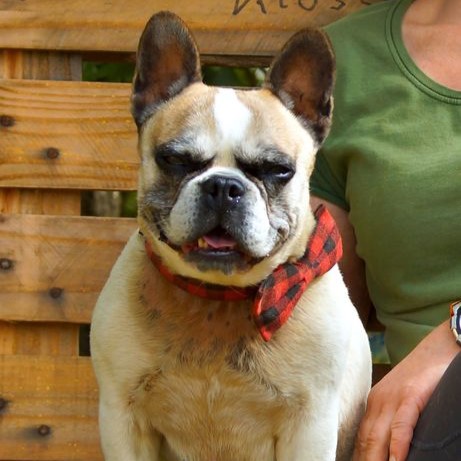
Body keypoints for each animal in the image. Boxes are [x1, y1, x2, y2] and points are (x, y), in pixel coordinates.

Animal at [90, 11, 371, 461]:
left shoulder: (310, 425)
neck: (216, 300)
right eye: (174, 159)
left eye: (278, 170)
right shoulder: (122, 417)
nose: (223, 186)